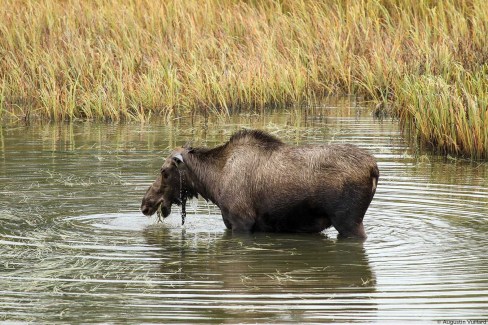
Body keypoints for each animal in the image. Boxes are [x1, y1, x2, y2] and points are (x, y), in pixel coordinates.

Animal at [139, 129, 380, 238]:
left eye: (164, 171)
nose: (145, 204)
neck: (213, 183)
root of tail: (374, 169)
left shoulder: (241, 221)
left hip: (349, 221)